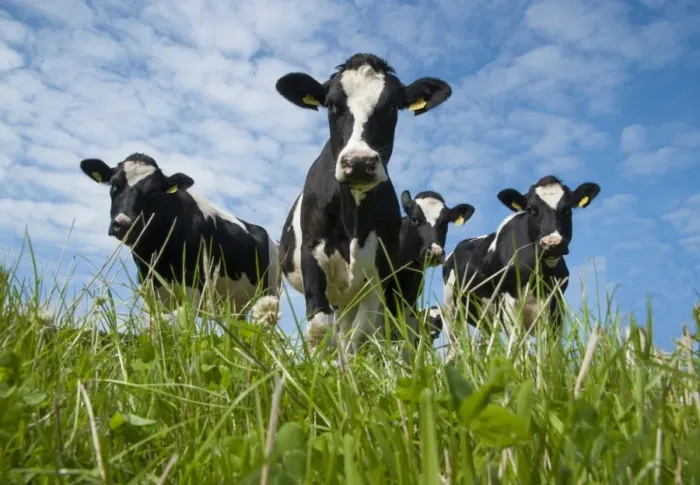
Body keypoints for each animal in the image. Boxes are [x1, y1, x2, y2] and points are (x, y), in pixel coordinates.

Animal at [79, 152, 281, 326]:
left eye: (154, 191)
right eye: (114, 185)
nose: (125, 224)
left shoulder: (193, 288)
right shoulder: (150, 291)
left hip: (270, 293)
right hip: (237, 307)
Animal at [275, 52, 453, 354]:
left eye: (393, 106)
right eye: (331, 104)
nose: (358, 162)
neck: (352, 220)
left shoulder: (379, 278)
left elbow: (360, 336)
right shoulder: (312, 257)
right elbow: (319, 328)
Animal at [440, 175, 601, 360]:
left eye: (568, 209)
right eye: (531, 210)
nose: (552, 244)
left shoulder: (556, 305)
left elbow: (552, 349)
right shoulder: (509, 305)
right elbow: (518, 347)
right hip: (451, 310)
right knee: (454, 344)